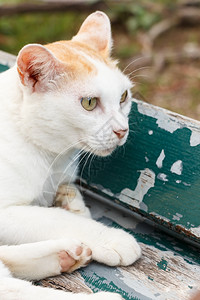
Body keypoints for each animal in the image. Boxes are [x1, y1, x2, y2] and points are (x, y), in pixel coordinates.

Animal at [0, 11, 141, 300]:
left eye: (123, 97)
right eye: (89, 103)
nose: (122, 130)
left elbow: (69, 202)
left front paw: (71, 202)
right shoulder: (4, 213)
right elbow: (55, 218)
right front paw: (110, 237)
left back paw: (65, 255)